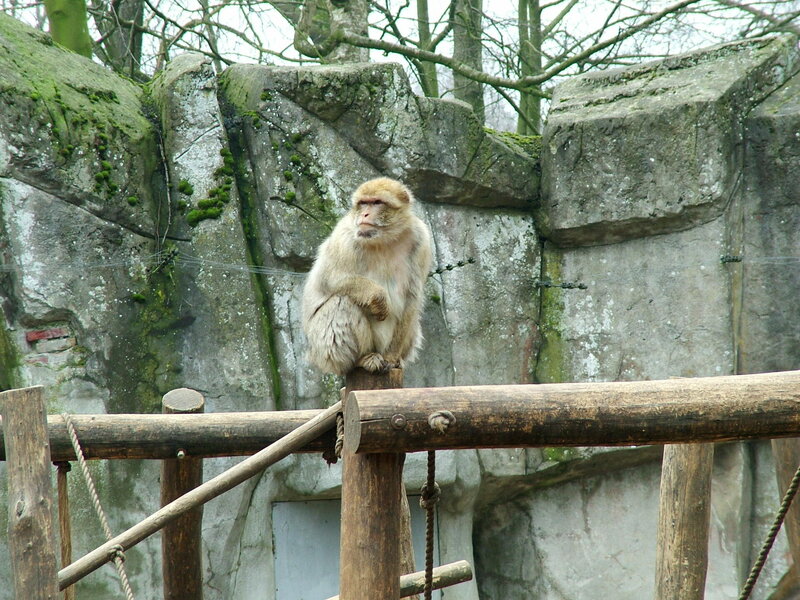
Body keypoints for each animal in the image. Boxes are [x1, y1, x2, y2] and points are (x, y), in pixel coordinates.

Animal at [304, 177, 434, 376]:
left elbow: (412, 296)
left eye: (377, 202)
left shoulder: (421, 239)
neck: (383, 238)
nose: (364, 214)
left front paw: (392, 358)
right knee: (341, 303)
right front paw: (378, 298)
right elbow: (328, 280)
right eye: (363, 203)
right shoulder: (345, 237)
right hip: (322, 351)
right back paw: (362, 359)